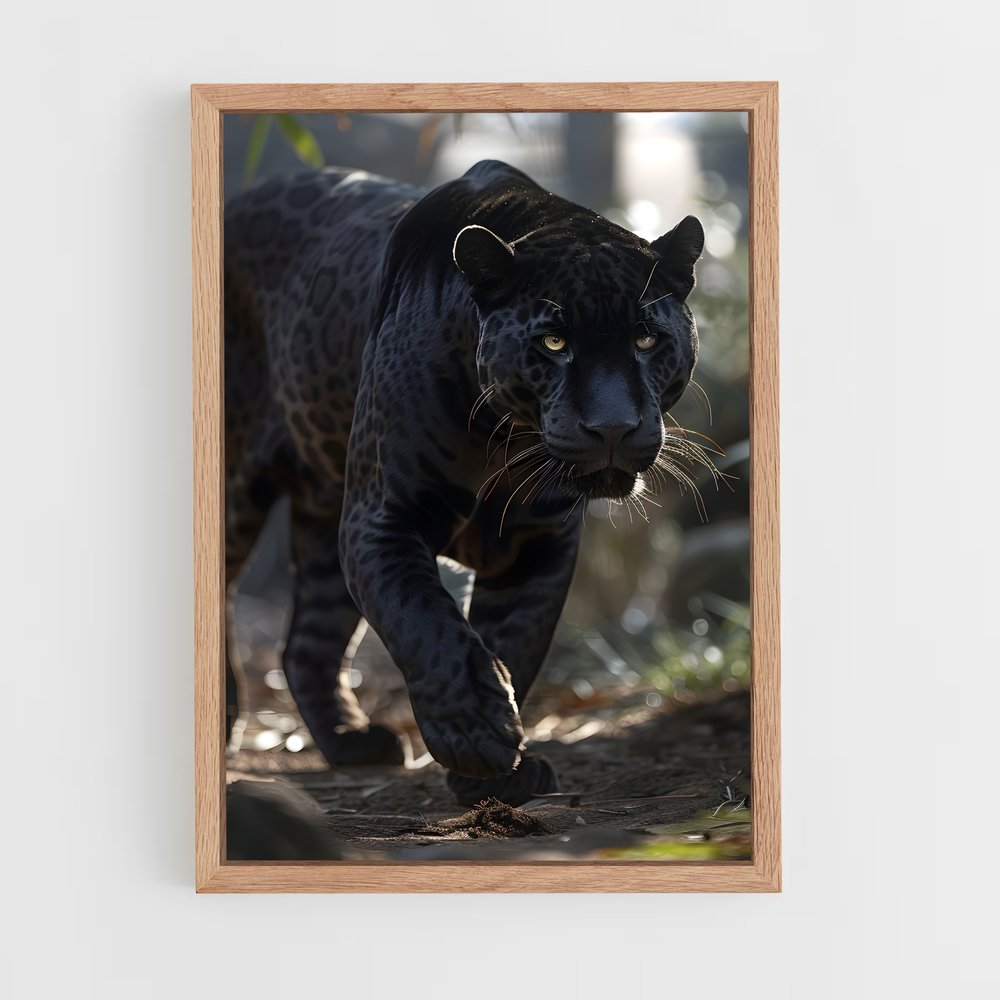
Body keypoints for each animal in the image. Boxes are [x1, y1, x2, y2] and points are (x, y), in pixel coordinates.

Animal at [224, 159, 704, 806]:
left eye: (646, 339)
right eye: (554, 342)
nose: (612, 427)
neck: (504, 443)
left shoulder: (537, 544)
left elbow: (515, 639)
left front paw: (499, 771)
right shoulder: (384, 518)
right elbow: (423, 620)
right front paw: (474, 732)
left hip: (325, 522)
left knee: (307, 644)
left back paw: (353, 744)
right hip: (238, 491)